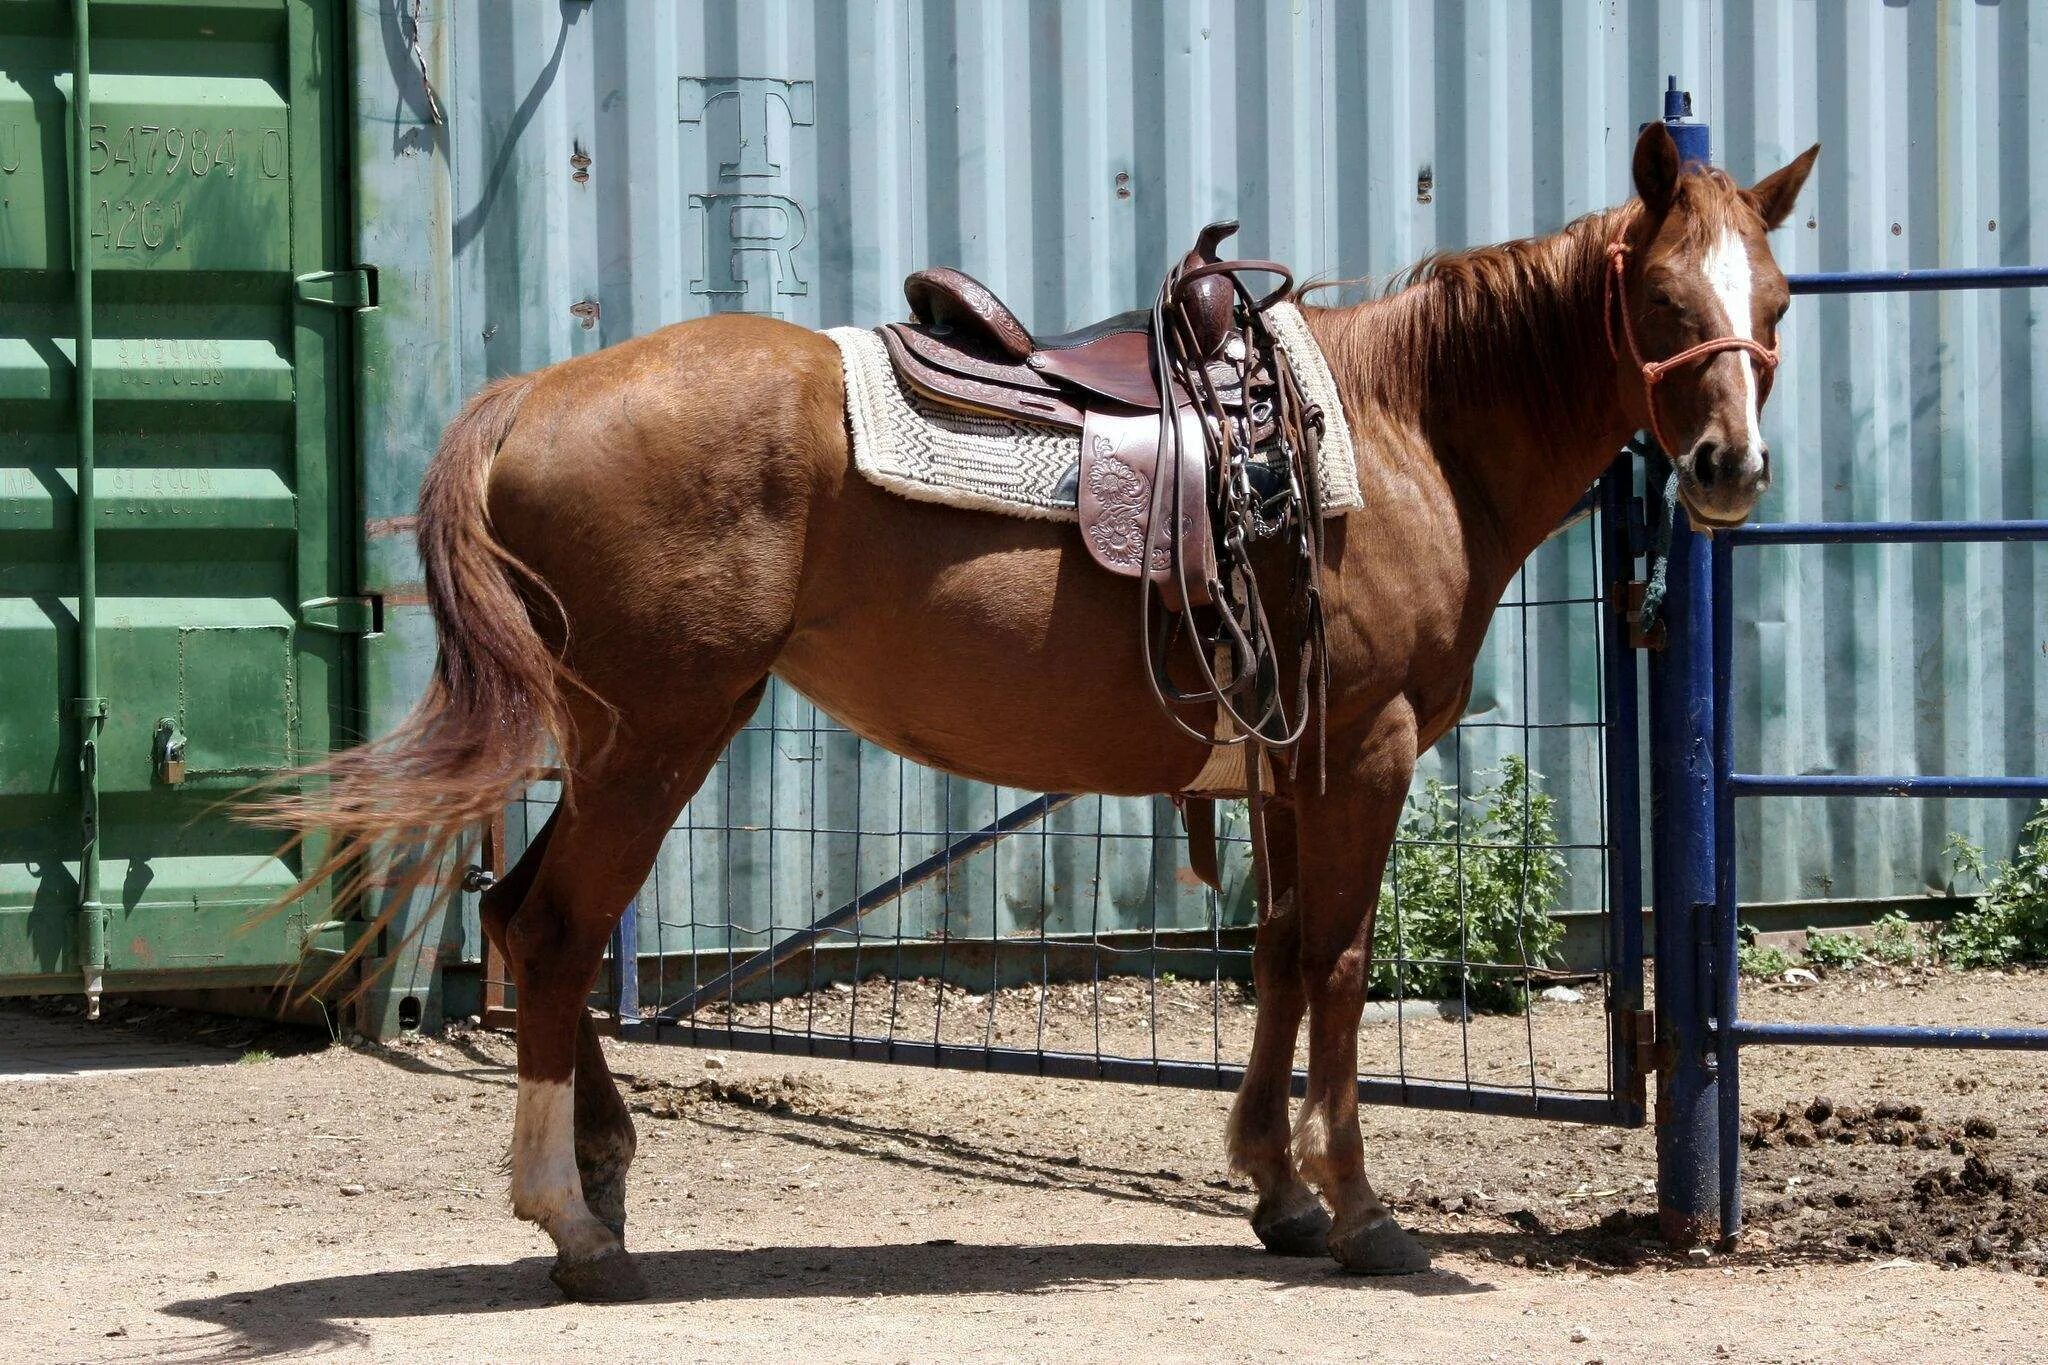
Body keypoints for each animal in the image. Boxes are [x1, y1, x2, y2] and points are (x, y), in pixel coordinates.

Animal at [264, 127, 1818, 1301]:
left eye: (1779, 300)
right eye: (1663, 302)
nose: (1731, 466)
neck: (1399, 430)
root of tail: (534, 395)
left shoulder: (1283, 764)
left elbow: (1274, 954)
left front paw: (1275, 1188)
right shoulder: (1361, 753)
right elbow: (1338, 966)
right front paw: (1360, 1209)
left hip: (614, 743)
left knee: (526, 915)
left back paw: (602, 1172)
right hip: (656, 734)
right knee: (552, 928)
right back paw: (573, 1221)